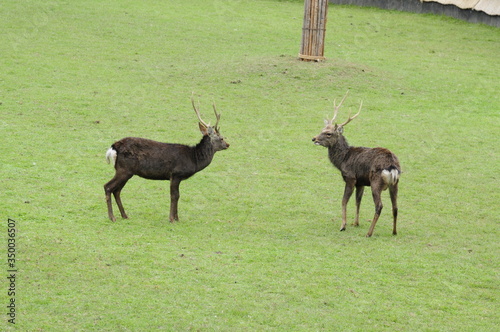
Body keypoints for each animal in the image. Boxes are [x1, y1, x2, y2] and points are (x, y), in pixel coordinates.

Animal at [312, 92, 402, 237]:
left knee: (379, 206)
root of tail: (392, 167)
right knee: (395, 207)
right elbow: (358, 201)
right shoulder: (361, 182)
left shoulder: (350, 177)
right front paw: (355, 223)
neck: (343, 159)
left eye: (329, 133)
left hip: (376, 182)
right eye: (322, 129)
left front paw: (343, 225)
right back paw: (394, 231)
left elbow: (344, 200)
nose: (314, 138)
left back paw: (369, 233)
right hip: (395, 184)